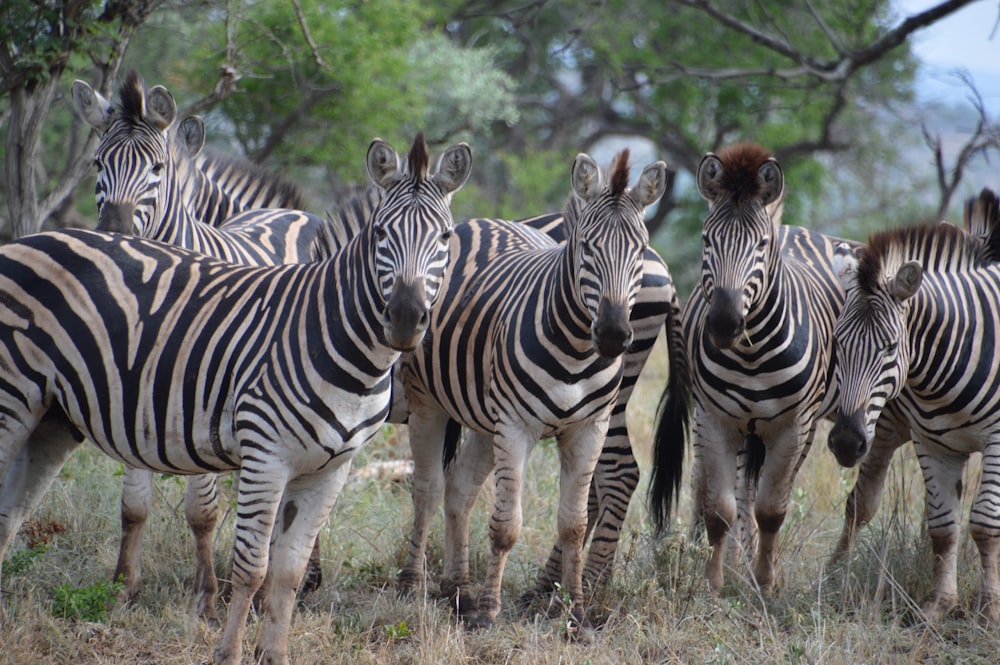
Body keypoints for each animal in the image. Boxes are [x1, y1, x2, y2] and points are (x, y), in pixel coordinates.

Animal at [0, 132, 472, 660]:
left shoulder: (332, 469)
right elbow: (251, 568)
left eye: (445, 238)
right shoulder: (265, 456)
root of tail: (26, 240)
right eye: (380, 234)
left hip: (53, 416)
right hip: (13, 397)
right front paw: (227, 651)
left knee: (9, 514)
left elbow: (287, 573)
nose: (406, 320)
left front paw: (276, 653)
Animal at [75, 70, 332, 620]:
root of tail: (293, 213)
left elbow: (201, 510)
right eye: (97, 164)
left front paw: (208, 598)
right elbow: (134, 505)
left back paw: (305, 579)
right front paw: (122, 588)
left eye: (156, 168)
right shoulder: (135, 392)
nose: (113, 235)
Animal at [394, 148, 684, 636]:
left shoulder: (589, 425)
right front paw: (489, 611)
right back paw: (426, 587)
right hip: (438, 402)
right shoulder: (514, 426)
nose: (612, 335)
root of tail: (478, 222)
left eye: (637, 250)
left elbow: (572, 523)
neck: (575, 348)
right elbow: (506, 525)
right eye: (586, 247)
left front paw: (577, 613)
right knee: (433, 488)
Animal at [648, 143, 908, 592]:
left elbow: (772, 508)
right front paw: (714, 581)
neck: (751, 354)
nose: (724, 323)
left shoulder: (793, 426)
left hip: (799, 429)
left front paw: (764, 581)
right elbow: (720, 508)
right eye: (705, 239)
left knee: (760, 491)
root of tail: (794, 228)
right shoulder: (715, 419)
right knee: (720, 487)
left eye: (760, 244)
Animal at [824, 219, 1000, 624]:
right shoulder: (933, 444)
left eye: (890, 346)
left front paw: (990, 610)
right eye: (838, 343)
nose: (846, 442)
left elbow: (984, 522)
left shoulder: (999, 439)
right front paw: (939, 606)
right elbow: (943, 526)